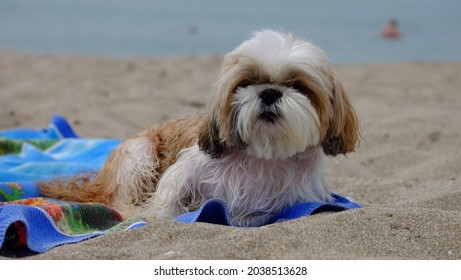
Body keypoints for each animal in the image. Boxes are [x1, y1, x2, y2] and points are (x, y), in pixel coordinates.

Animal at [38, 30, 360, 228]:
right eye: (247, 82)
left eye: (299, 86)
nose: (269, 92)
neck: (264, 155)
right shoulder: (184, 173)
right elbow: (168, 203)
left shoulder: (291, 201)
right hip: (140, 153)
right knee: (121, 197)